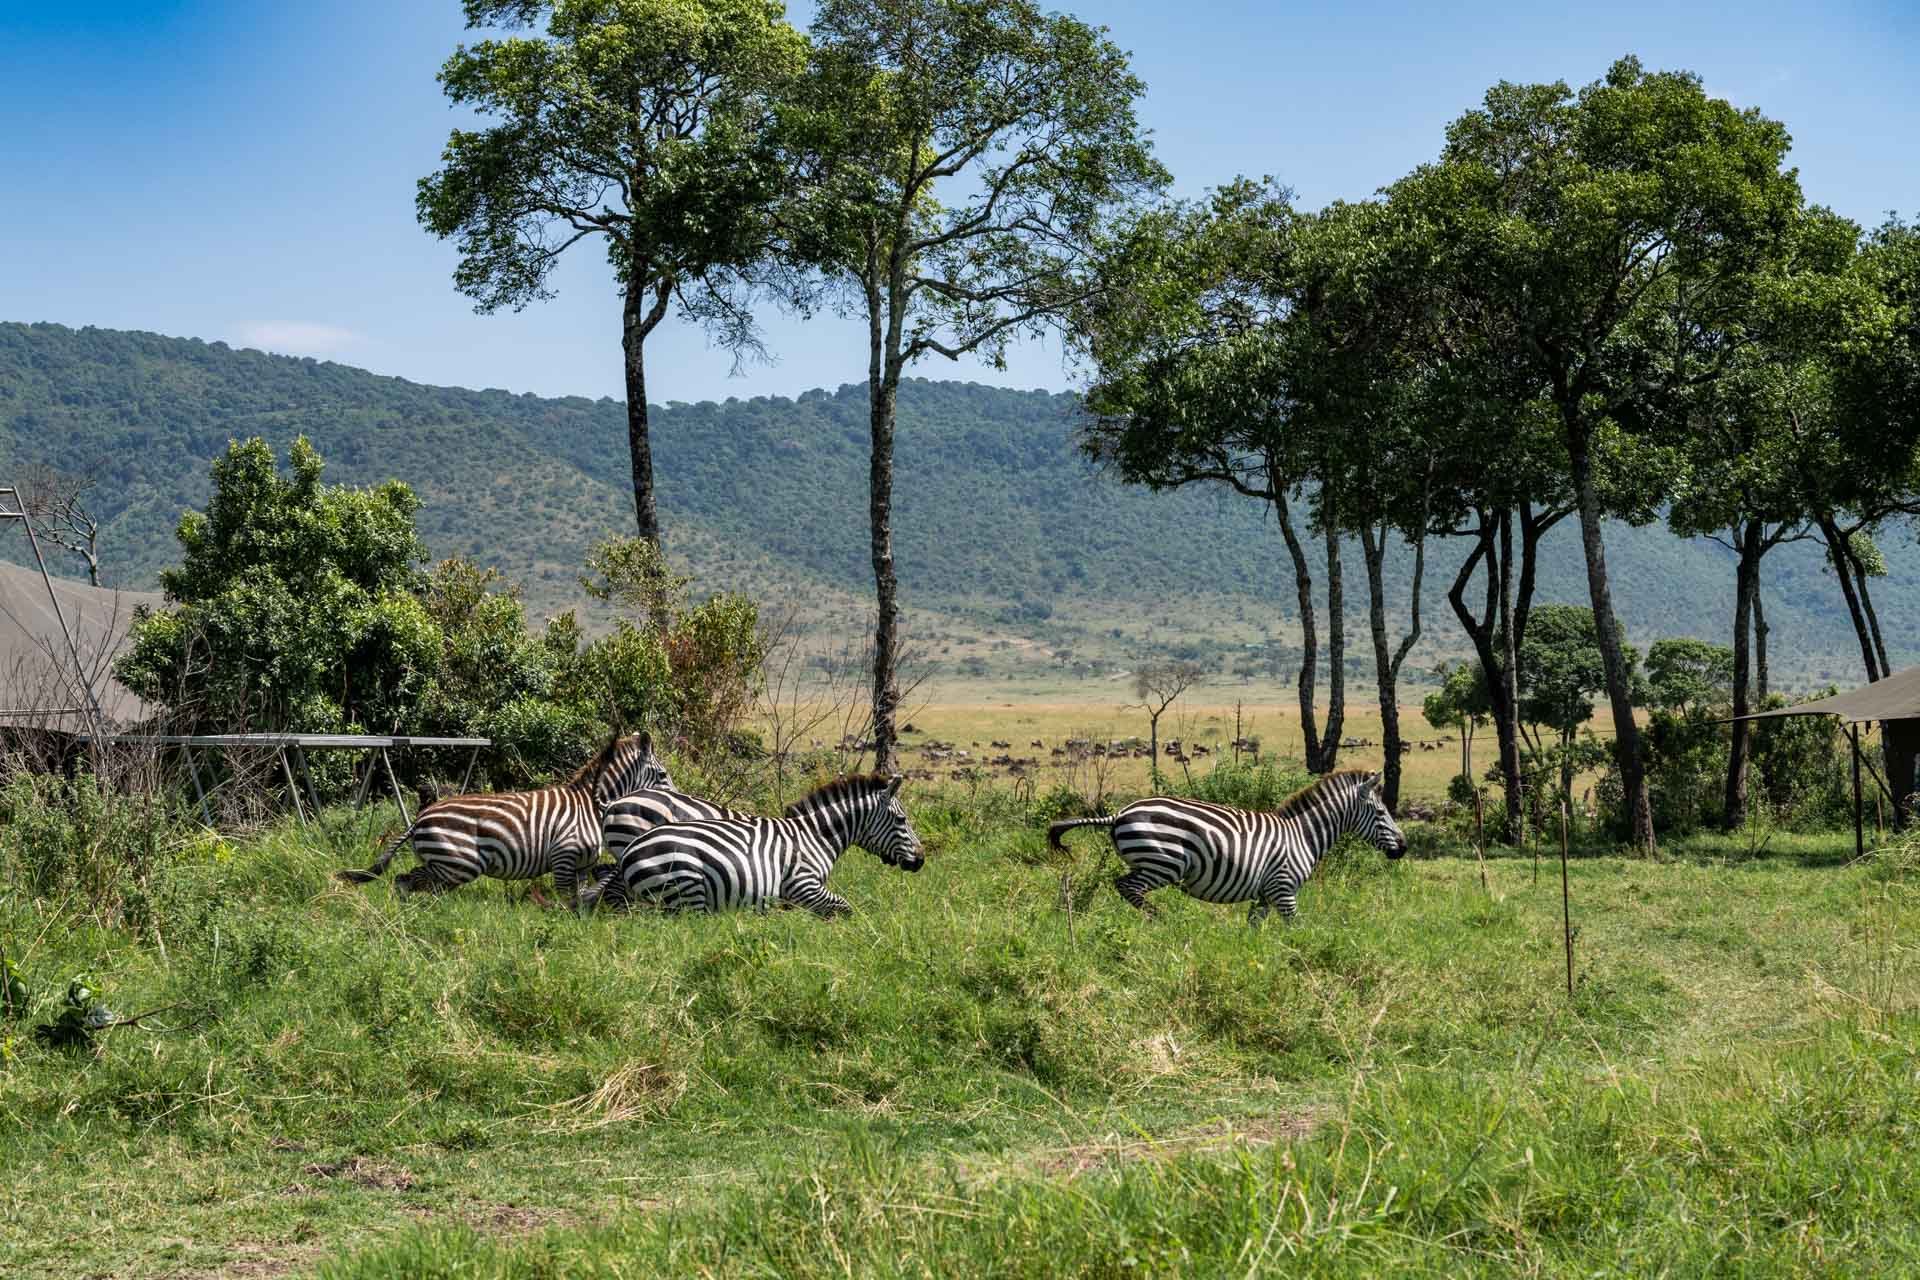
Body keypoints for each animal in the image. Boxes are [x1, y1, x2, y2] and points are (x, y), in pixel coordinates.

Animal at [337, 731, 673, 906]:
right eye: (663, 775)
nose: (679, 796)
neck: (589, 804)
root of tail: (419, 819)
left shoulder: (580, 865)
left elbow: (578, 900)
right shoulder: (564, 855)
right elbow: (566, 899)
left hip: (446, 865)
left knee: (411, 882)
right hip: (458, 863)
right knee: (408, 880)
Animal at [582, 773, 924, 917]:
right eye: (902, 820)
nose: (920, 860)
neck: (815, 835)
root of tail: (612, 804)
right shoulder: (803, 885)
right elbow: (844, 908)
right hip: (683, 887)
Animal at [1046, 770, 1406, 927]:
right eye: (1381, 813)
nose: (1402, 848)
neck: (1302, 835)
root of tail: (1120, 813)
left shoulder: (1265, 895)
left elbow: (1254, 930)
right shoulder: (1284, 889)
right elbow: (1296, 928)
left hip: (1152, 863)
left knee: (1124, 886)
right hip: (1163, 862)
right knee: (1126, 886)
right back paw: (1162, 920)